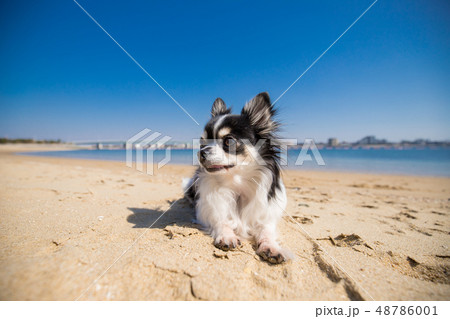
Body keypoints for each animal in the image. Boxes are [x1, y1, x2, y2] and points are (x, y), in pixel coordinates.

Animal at [185, 91, 288, 264]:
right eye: (202, 142)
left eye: (229, 141)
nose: (201, 152)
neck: (237, 183)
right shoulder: (207, 210)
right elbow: (220, 219)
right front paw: (227, 235)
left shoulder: (266, 216)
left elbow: (265, 230)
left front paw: (271, 247)